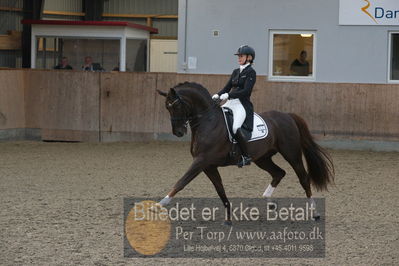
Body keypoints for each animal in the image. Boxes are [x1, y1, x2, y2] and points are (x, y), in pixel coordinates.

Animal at [156, 82, 334, 223]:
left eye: (176, 106)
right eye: (166, 108)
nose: (178, 132)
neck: (208, 121)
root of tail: (287, 116)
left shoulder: (201, 161)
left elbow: (182, 182)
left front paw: (159, 205)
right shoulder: (208, 166)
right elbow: (220, 189)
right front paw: (228, 217)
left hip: (292, 154)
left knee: (303, 178)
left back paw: (315, 212)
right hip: (262, 158)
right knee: (279, 173)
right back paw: (270, 201)